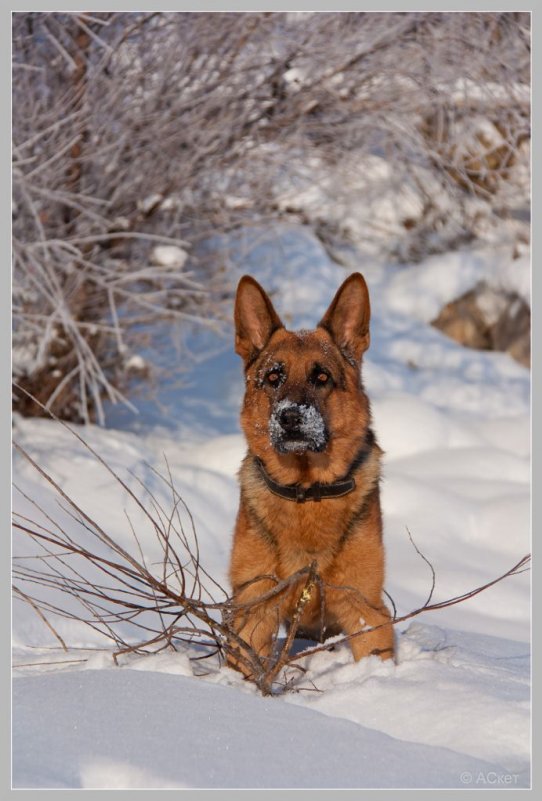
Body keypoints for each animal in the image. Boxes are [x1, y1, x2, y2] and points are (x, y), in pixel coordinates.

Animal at [230, 270, 396, 676]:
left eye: (321, 378)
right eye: (273, 377)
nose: (290, 418)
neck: (307, 492)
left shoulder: (364, 608)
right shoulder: (254, 604)